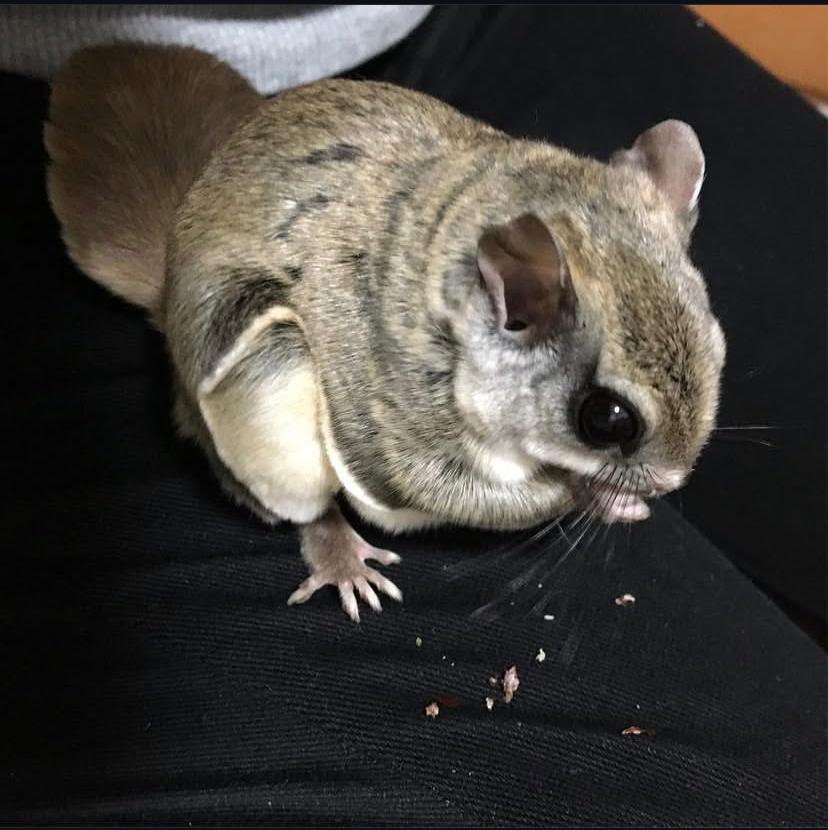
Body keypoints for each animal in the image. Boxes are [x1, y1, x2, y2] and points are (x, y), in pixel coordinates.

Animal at [44, 43, 726, 622]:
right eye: (607, 418)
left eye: (719, 348)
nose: (671, 482)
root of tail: (165, 293)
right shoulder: (393, 409)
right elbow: (460, 491)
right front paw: (595, 495)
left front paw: (616, 498)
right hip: (265, 375)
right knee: (301, 500)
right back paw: (340, 553)